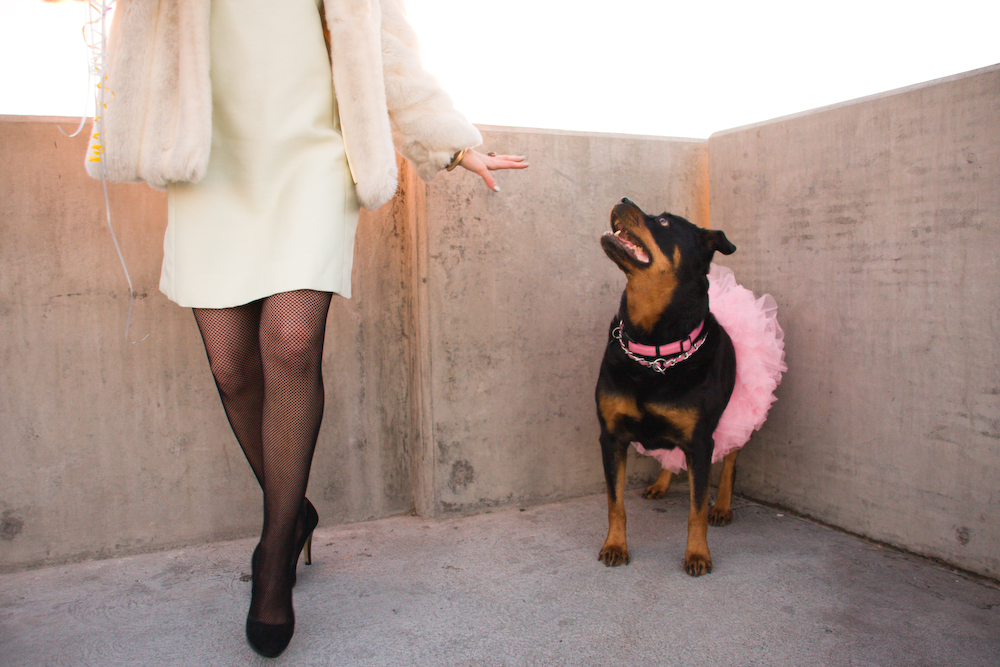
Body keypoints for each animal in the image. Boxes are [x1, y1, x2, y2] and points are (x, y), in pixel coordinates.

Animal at [596, 198, 737, 576]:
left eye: (662, 222)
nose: (623, 199)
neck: (654, 350)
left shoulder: (701, 442)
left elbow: (696, 510)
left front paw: (698, 554)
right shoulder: (611, 436)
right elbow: (615, 504)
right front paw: (615, 545)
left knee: (732, 459)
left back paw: (723, 506)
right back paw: (660, 484)